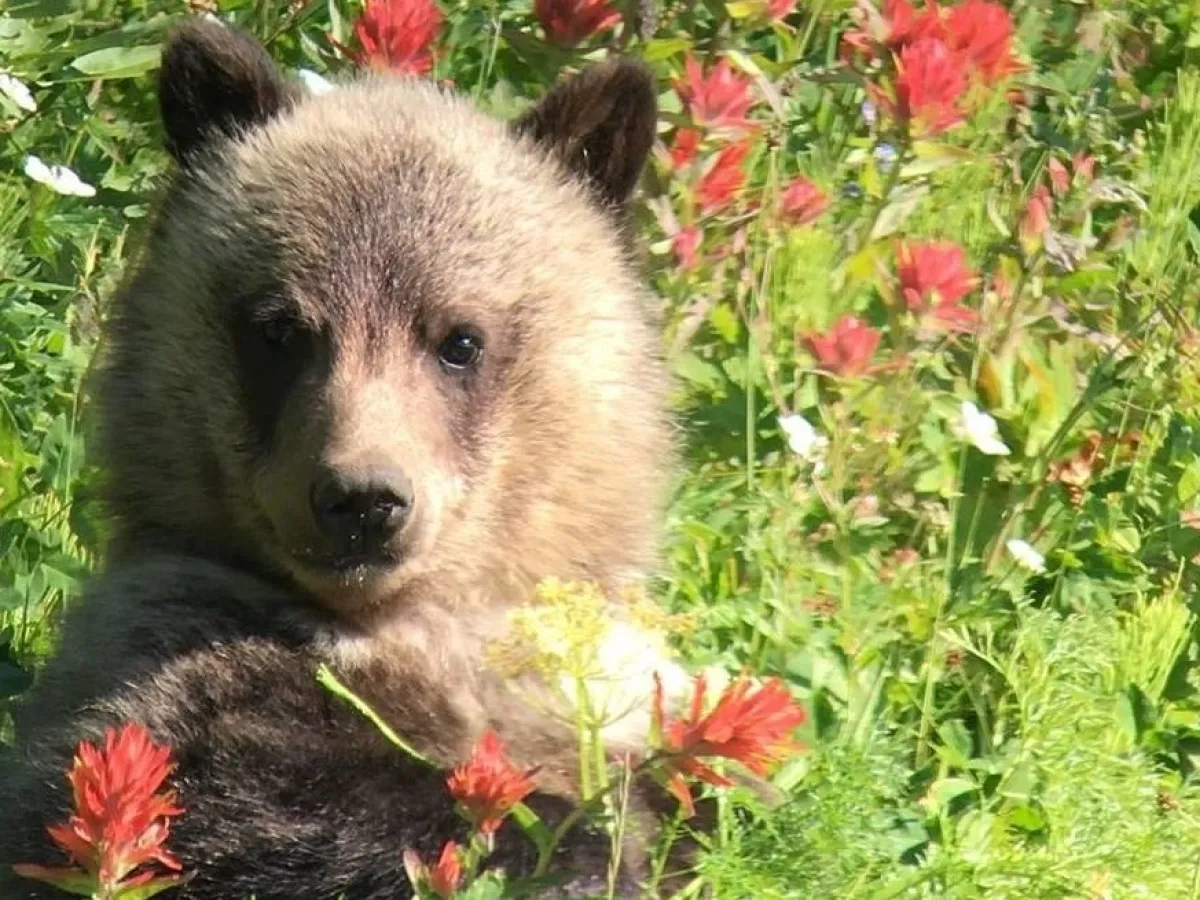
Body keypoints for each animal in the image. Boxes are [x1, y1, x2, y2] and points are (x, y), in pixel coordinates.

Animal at [0, 16, 691, 900]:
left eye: (459, 339)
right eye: (281, 330)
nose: (362, 500)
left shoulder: (601, 687)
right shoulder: (165, 639)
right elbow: (215, 790)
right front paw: (573, 844)